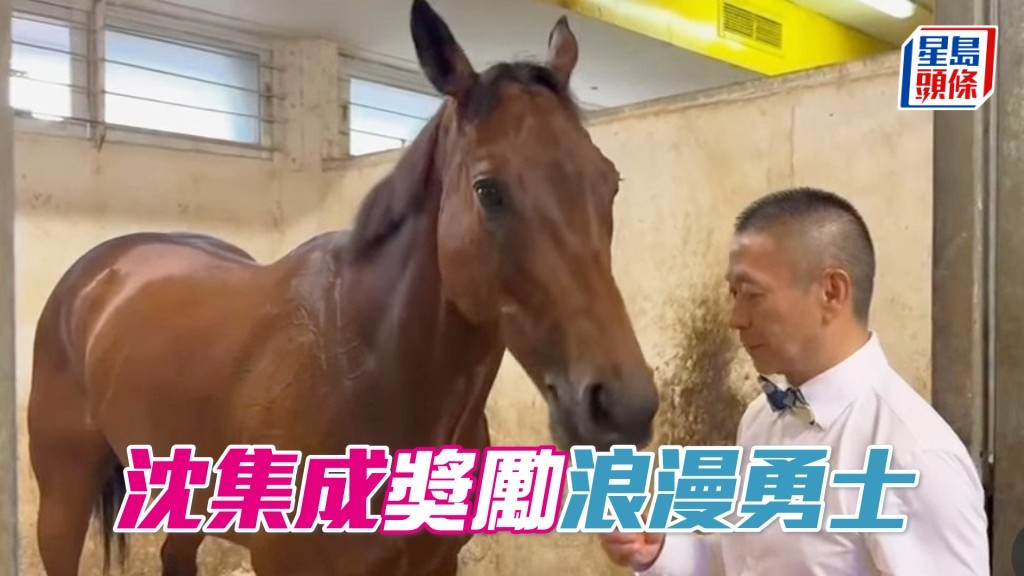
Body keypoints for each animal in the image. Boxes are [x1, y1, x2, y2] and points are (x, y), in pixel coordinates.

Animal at [26, 1, 659, 574]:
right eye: (488, 189)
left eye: (609, 182)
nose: (624, 405)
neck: (365, 369)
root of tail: (100, 271)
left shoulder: (434, 563)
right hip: (63, 498)